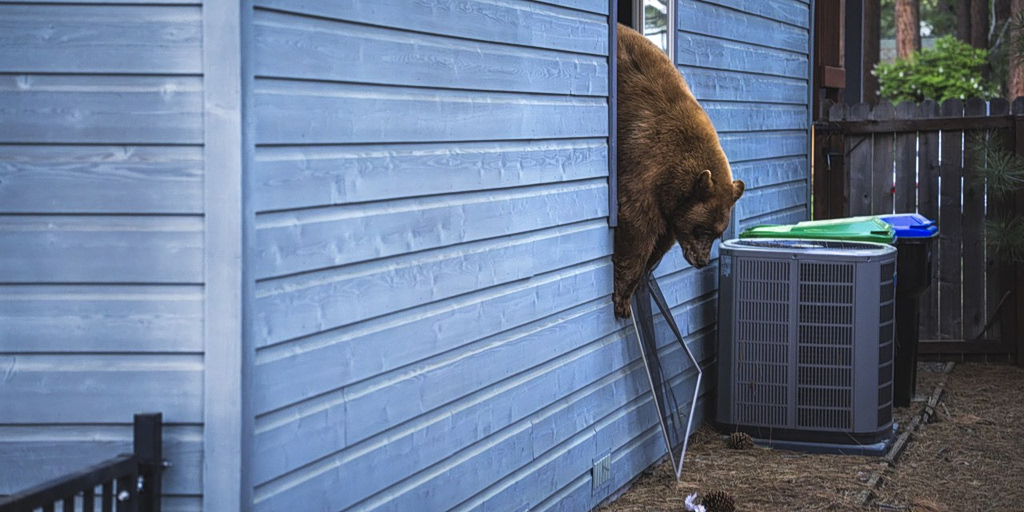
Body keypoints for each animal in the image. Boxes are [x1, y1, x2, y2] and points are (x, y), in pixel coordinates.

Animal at [613, 23, 745, 319]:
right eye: (704, 230)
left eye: (718, 233)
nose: (702, 261)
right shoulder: (642, 170)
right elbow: (636, 228)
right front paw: (623, 298)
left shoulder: (671, 206)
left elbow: (662, 237)